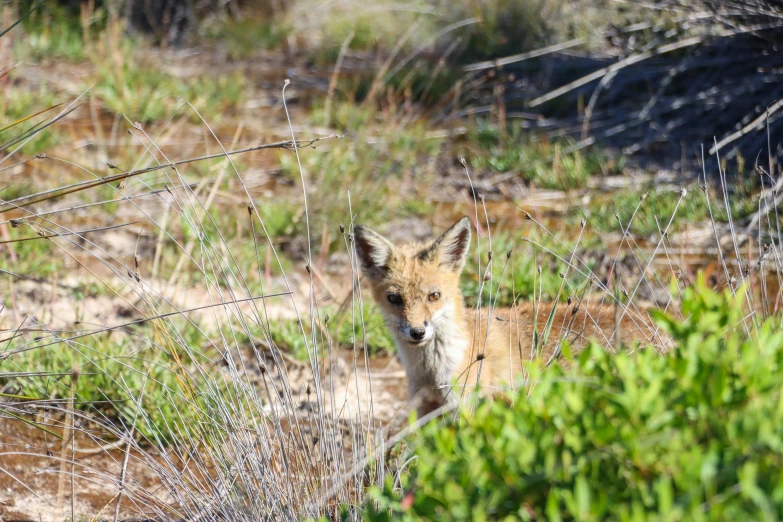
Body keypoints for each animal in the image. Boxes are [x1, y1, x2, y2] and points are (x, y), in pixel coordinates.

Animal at [356, 214, 656, 414]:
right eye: (394, 299)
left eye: (434, 296)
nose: (417, 332)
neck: (432, 371)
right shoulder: (426, 412)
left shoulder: (469, 410)